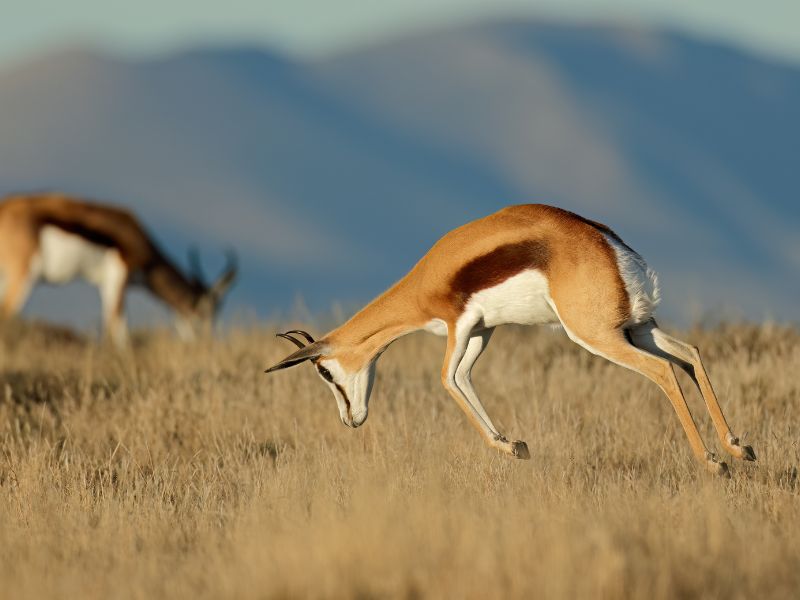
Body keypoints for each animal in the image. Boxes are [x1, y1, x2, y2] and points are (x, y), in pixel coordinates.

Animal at [0, 192, 238, 342]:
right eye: (207, 310)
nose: (207, 341)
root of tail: (5, 208)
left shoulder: (105, 285)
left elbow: (108, 324)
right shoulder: (119, 277)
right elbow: (119, 327)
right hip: (24, 277)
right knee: (7, 312)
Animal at [268, 204, 756, 476]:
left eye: (324, 372)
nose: (350, 420)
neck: (429, 276)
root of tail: (610, 245)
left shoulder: (459, 325)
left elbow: (446, 381)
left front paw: (510, 447)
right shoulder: (483, 331)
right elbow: (464, 380)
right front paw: (515, 444)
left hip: (596, 335)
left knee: (664, 370)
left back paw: (712, 463)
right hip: (638, 327)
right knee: (690, 354)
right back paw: (740, 447)